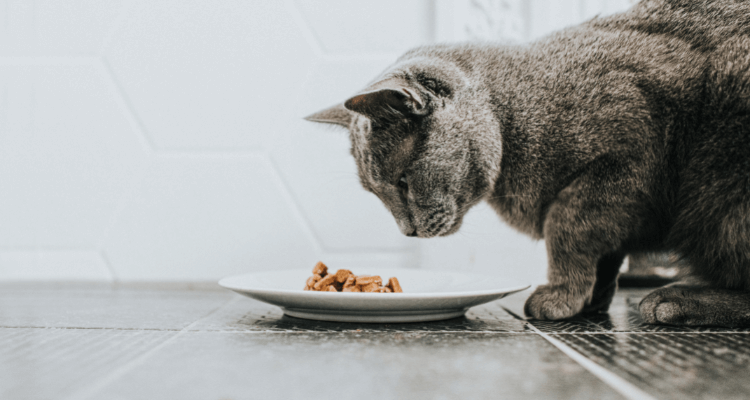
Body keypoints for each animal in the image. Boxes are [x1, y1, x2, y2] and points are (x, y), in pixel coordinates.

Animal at [306, 0, 750, 328]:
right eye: (374, 191)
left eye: (402, 182)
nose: (407, 232)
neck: (512, 119)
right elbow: (606, 251)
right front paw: (589, 299)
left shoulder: (629, 150)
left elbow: (567, 226)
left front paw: (561, 295)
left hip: (722, 188)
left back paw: (679, 300)